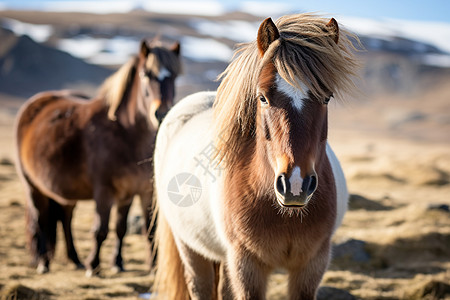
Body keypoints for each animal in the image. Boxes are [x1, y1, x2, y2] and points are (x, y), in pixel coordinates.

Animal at [14, 39, 182, 276]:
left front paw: (122, 264)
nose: (162, 113)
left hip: (64, 194)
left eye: (174, 76)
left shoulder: (138, 191)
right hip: (33, 187)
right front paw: (94, 266)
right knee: (40, 220)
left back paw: (75, 259)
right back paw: (44, 263)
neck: (125, 134)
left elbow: (129, 229)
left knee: (65, 218)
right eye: (146, 74)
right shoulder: (104, 191)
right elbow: (100, 229)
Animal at [153, 12, 356, 298]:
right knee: (200, 286)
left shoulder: (311, 266)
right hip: (190, 246)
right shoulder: (247, 265)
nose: (295, 185)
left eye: (326, 98)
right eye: (262, 98)